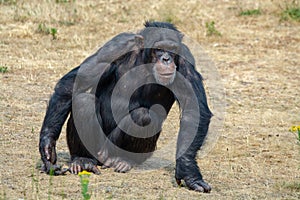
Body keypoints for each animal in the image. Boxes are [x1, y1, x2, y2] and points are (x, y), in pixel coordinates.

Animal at [39, 21, 213, 193]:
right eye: (158, 49)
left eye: (172, 49)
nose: (166, 59)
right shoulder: (115, 47)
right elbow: (75, 82)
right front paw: (47, 146)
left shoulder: (186, 59)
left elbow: (193, 108)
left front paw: (189, 172)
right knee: (83, 102)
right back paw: (83, 160)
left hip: (120, 150)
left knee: (143, 117)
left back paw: (123, 160)